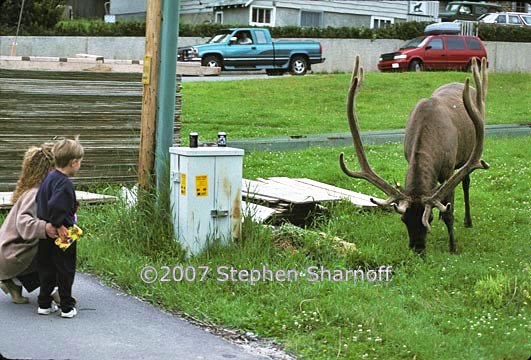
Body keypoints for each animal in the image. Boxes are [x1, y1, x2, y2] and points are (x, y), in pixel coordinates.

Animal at [340, 56, 490, 253]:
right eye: (404, 219)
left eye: (428, 219)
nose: (417, 248)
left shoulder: (449, 168)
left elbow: (449, 211)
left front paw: (452, 246)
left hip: (466, 156)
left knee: (465, 182)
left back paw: (468, 221)